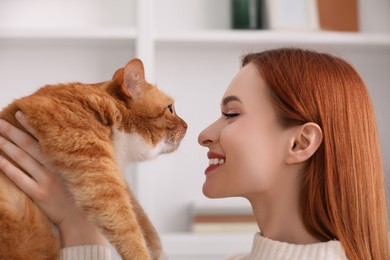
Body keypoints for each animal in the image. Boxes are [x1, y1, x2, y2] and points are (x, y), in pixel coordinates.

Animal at [0, 59, 187, 260]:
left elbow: (142, 218)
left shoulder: (116, 174)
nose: (187, 126)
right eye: (170, 108)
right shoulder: (98, 171)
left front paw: (158, 250)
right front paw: (142, 254)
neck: (110, 108)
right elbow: (126, 225)